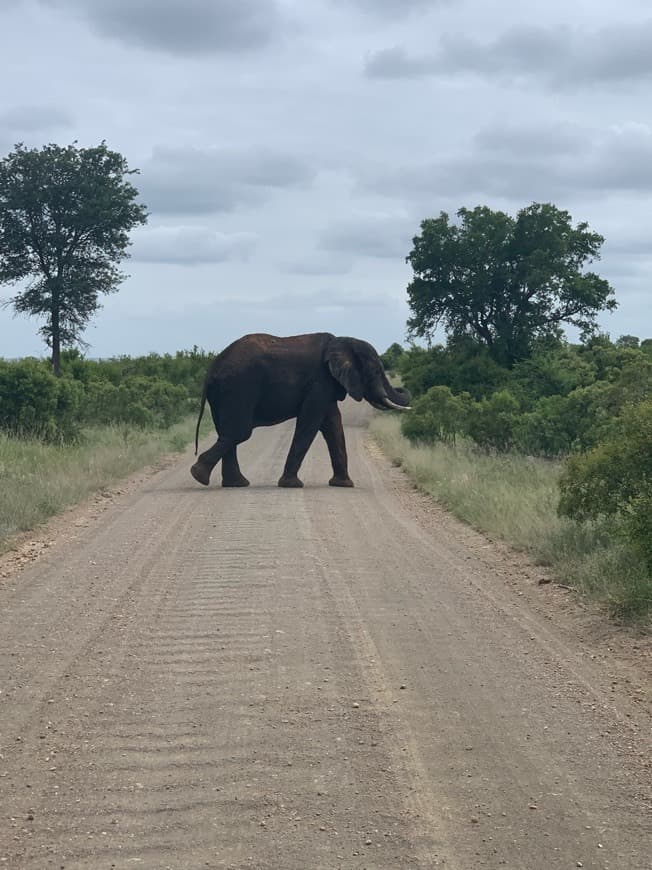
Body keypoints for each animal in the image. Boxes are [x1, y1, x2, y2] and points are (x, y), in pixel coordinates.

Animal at [191, 332, 410, 488]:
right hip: (238, 387)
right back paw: (199, 476)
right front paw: (291, 485)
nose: (401, 387)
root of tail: (211, 369)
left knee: (227, 432)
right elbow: (310, 423)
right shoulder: (320, 382)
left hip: (223, 393)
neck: (341, 341)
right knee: (238, 432)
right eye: (375, 371)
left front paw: (344, 485)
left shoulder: (326, 385)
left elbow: (333, 426)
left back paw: (234, 484)